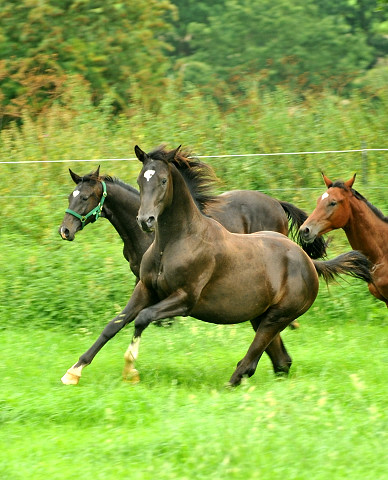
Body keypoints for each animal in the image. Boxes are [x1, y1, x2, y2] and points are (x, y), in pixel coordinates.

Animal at [62, 145, 374, 386]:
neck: (172, 241)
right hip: (260, 315)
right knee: (281, 360)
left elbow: (142, 319)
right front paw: (74, 372)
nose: (146, 220)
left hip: (274, 317)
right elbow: (114, 324)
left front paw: (130, 370)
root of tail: (308, 261)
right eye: (141, 180)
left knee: (256, 357)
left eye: (162, 180)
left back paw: (233, 381)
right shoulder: (145, 289)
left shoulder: (185, 300)